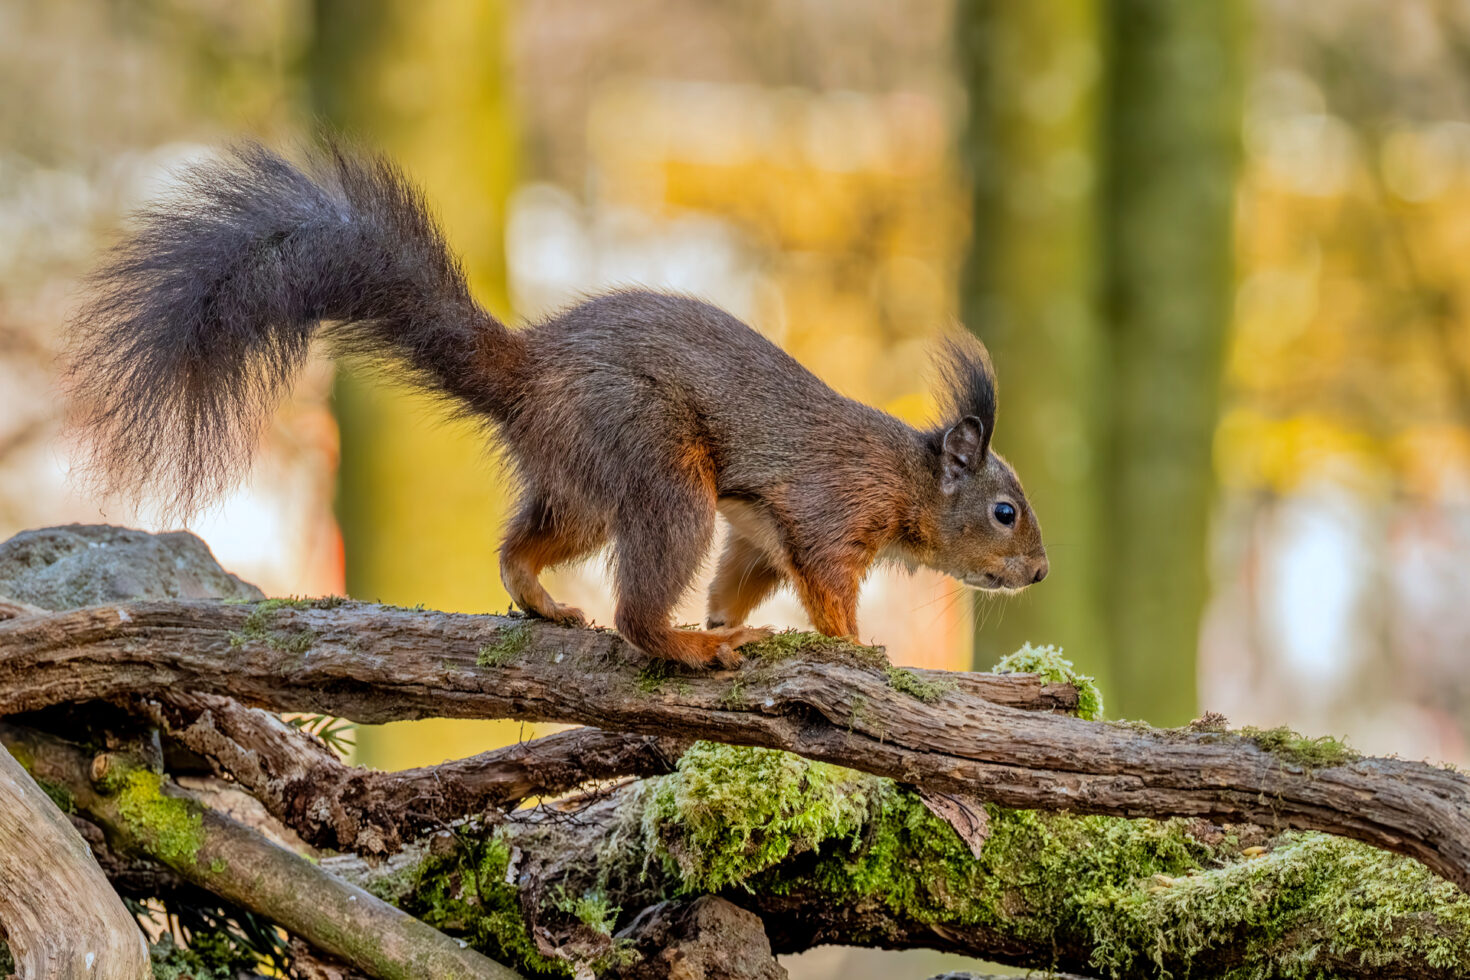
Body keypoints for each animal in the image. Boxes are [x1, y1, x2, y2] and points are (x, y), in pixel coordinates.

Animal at [64, 143, 1048, 668]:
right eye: (1005, 511)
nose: (1040, 573)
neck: (906, 478)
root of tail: (531, 372)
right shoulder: (827, 513)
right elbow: (827, 587)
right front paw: (849, 646)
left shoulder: (757, 535)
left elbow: (740, 578)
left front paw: (726, 618)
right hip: (655, 465)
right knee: (637, 611)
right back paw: (683, 646)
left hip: (579, 486)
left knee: (522, 544)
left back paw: (543, 603)